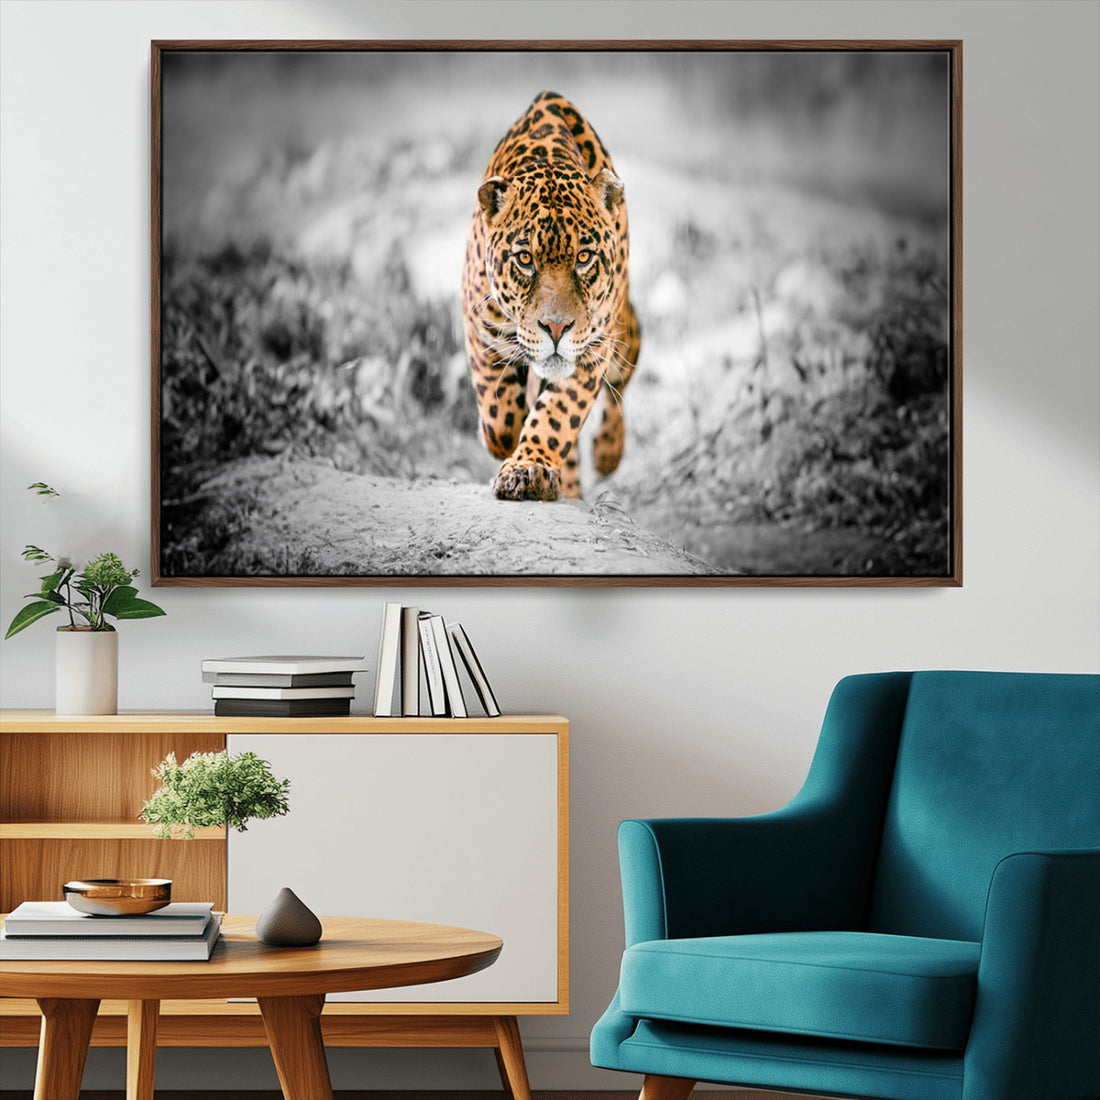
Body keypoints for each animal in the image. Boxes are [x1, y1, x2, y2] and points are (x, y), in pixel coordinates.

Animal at [462, 91, 641, 501]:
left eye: (584, 257)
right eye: (525, 259)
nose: (556, 328)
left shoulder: (593, 348)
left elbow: (558, 415)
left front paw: (528, 468)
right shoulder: (480, 326)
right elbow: (498, 415)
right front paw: (504, 441)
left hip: (624, 333)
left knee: (620, 385)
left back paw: (607, 453)